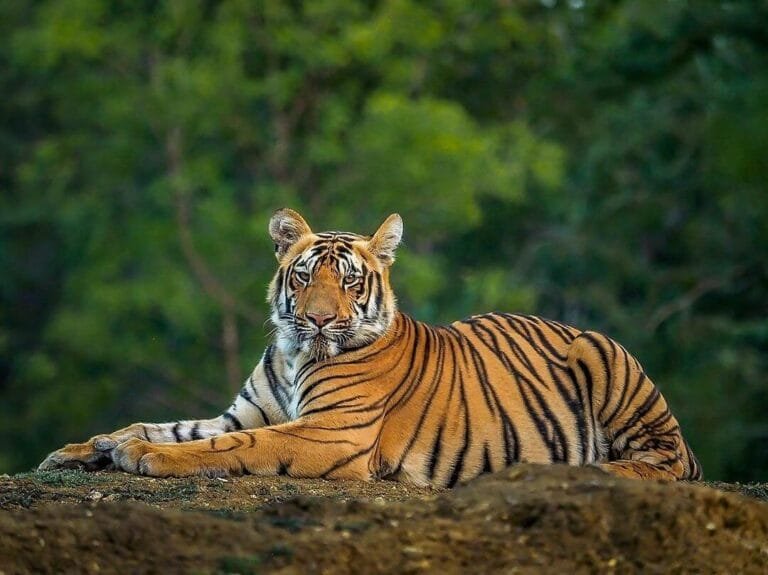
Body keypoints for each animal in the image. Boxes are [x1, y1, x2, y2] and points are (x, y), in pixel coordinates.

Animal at [39, 208, 702, 485]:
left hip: (606, 359)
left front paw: (143, 457)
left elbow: (229, 445)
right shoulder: (245, 411)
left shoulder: (331, 432)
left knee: (666, 462)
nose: (318, 320)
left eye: (351, 281)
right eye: (306, 276)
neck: (293, 352)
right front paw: (88, 448)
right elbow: (166, 425)